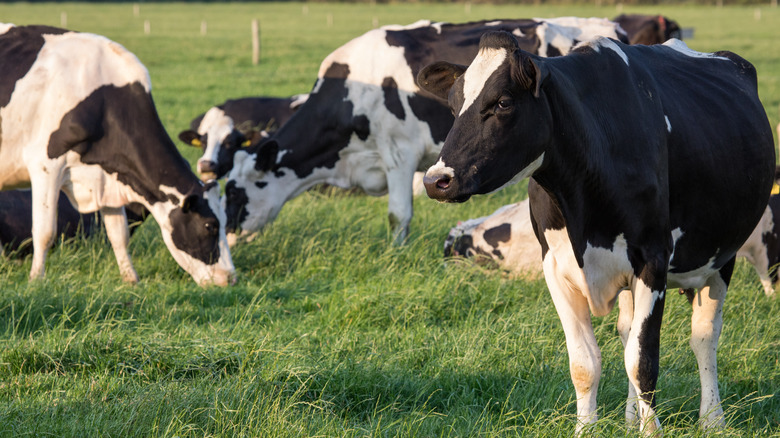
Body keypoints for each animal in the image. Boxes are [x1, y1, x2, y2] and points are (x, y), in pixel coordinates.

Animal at [418, 32, 772, 432]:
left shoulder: (653, 261)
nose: (435, 180)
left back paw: (712, 419)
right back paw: (632, 418)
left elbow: (643, 362)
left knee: (704, 337)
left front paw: (652, 432)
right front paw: (588, 429)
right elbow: (585, 364)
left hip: (722, 256)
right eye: (453, 104)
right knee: (629, 332)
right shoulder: (556, 268)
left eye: (503, 102)